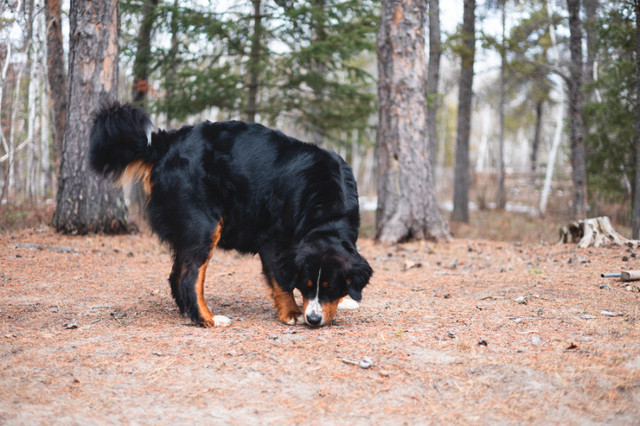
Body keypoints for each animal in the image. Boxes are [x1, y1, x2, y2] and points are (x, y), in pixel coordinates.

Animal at [87, 102, 372, 326]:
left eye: (330, 287)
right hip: (204, 225)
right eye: (308, 284)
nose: (313, 319)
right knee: (190, 277)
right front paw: (292, 312)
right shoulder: (273, 241)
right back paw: (207, 319)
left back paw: (189, 313)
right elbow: (281, 280)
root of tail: (166, 143)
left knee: (176, 275)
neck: (326, 211)